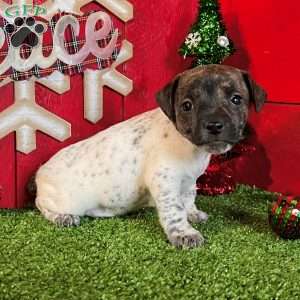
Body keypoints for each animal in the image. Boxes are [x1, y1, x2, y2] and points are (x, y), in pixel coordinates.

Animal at [35, 64, 268, 247]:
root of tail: (40, 173)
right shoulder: (164, 182)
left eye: (236, 99)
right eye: (187, 106)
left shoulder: (188, 181)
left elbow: (188, 199)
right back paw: (63, 217)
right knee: (41, 204)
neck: (191, 148)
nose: (214, 125)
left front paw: (192, 213)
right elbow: (174, 210)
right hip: (63, 199)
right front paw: (184, 233)